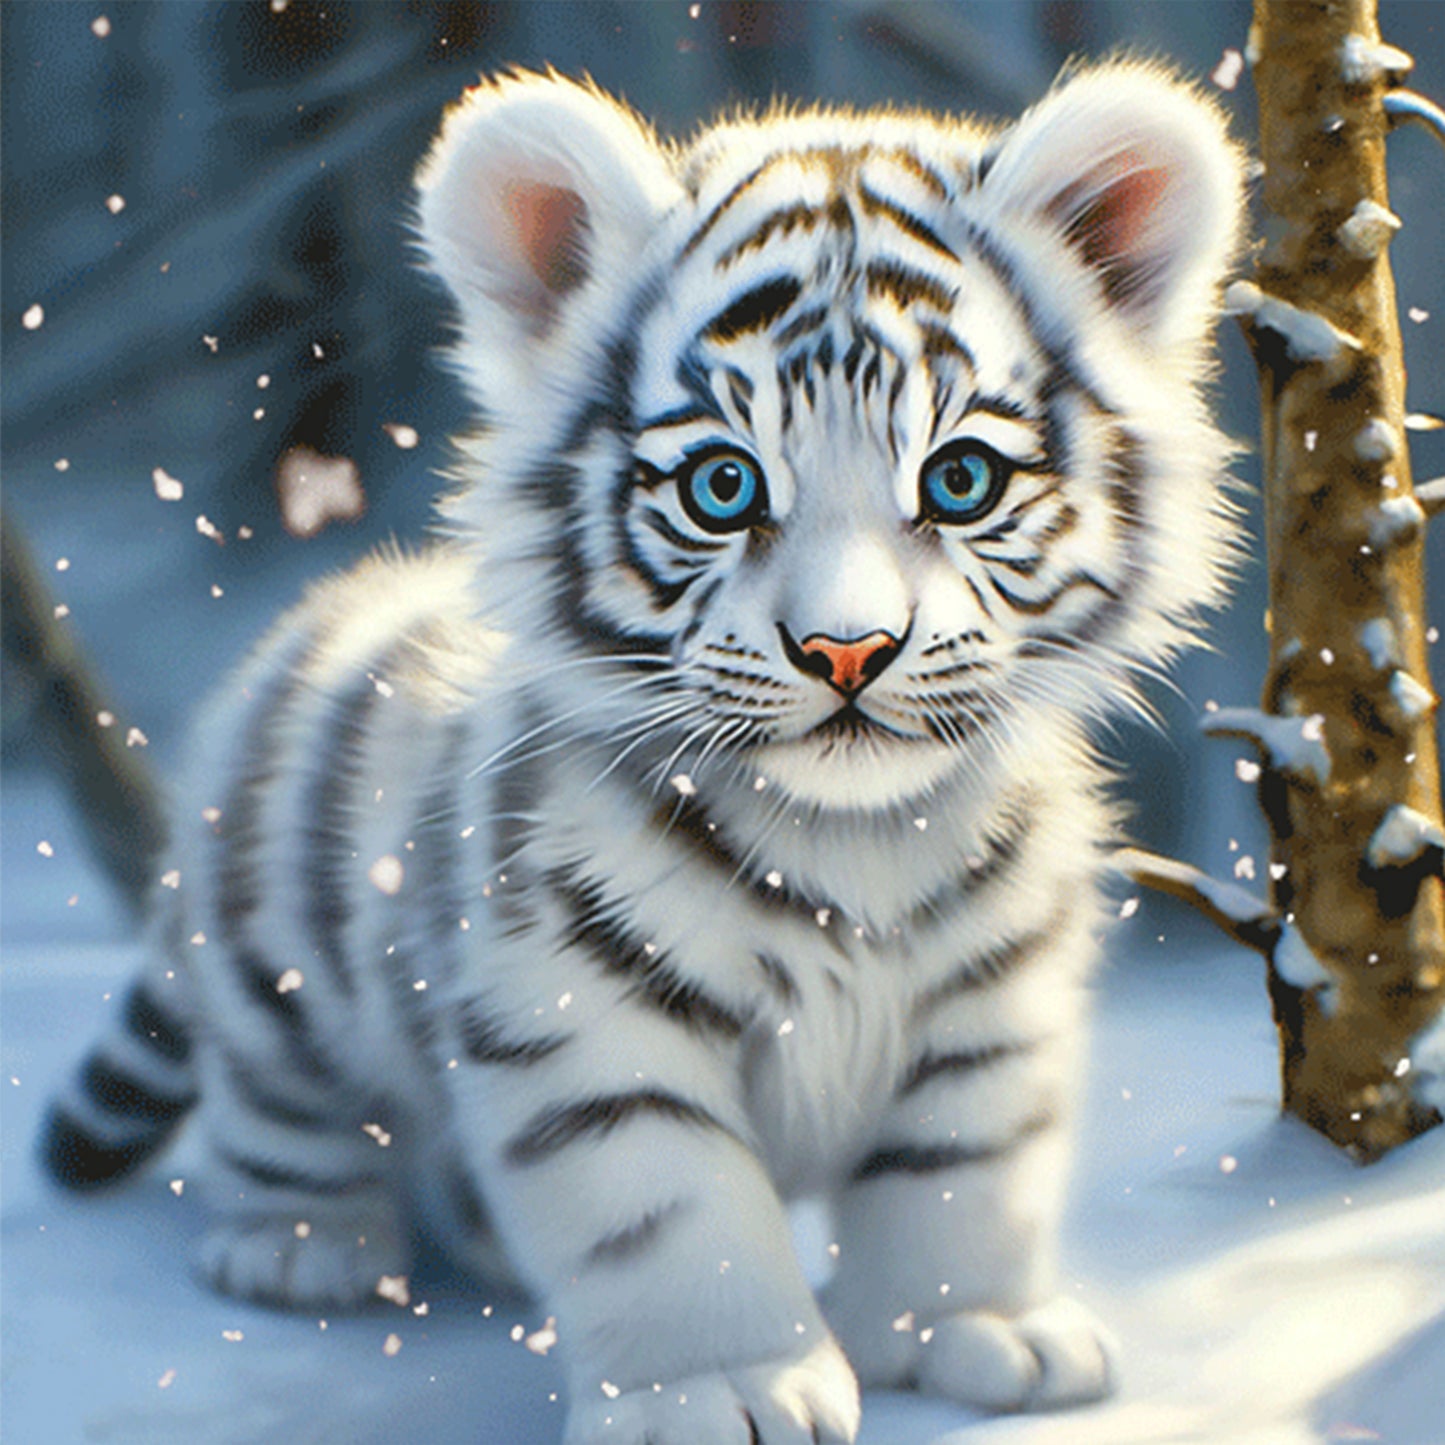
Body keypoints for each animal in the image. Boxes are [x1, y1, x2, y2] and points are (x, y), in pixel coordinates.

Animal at [42, 61, 1245, 1443]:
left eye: (958, 481)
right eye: (724, 486)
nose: (846, 650)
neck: (855, 840)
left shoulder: (992, 1007)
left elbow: (959, 1170)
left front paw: (973, 1332)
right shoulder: (579, 1015)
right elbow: (671, 1212)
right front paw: (724, 1385)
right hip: (274, 980)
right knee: (276, 1107)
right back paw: (299, 1247)